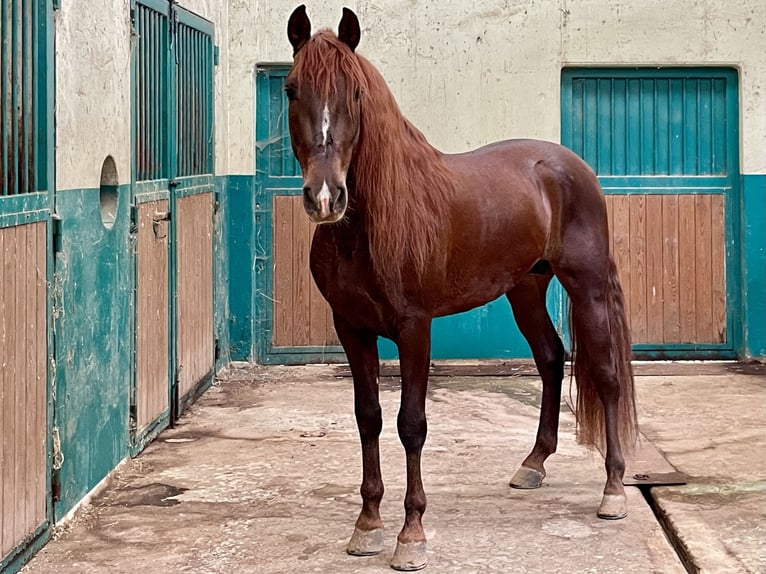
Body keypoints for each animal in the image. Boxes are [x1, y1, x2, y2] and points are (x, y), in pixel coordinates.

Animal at [284, 4, 640, 572]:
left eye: (355, 92)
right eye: (291, 89)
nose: (324, 197)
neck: (373, 223)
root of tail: (571, 166)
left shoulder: (414, 327)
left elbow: (411, 423)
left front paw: (411, 535)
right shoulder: (352, 328)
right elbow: (368, 418)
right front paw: (367, 525)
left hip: (587, 285)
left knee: (606, 374)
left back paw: (613, 491)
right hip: (525, 289)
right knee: (550, 357)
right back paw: (533, 464)